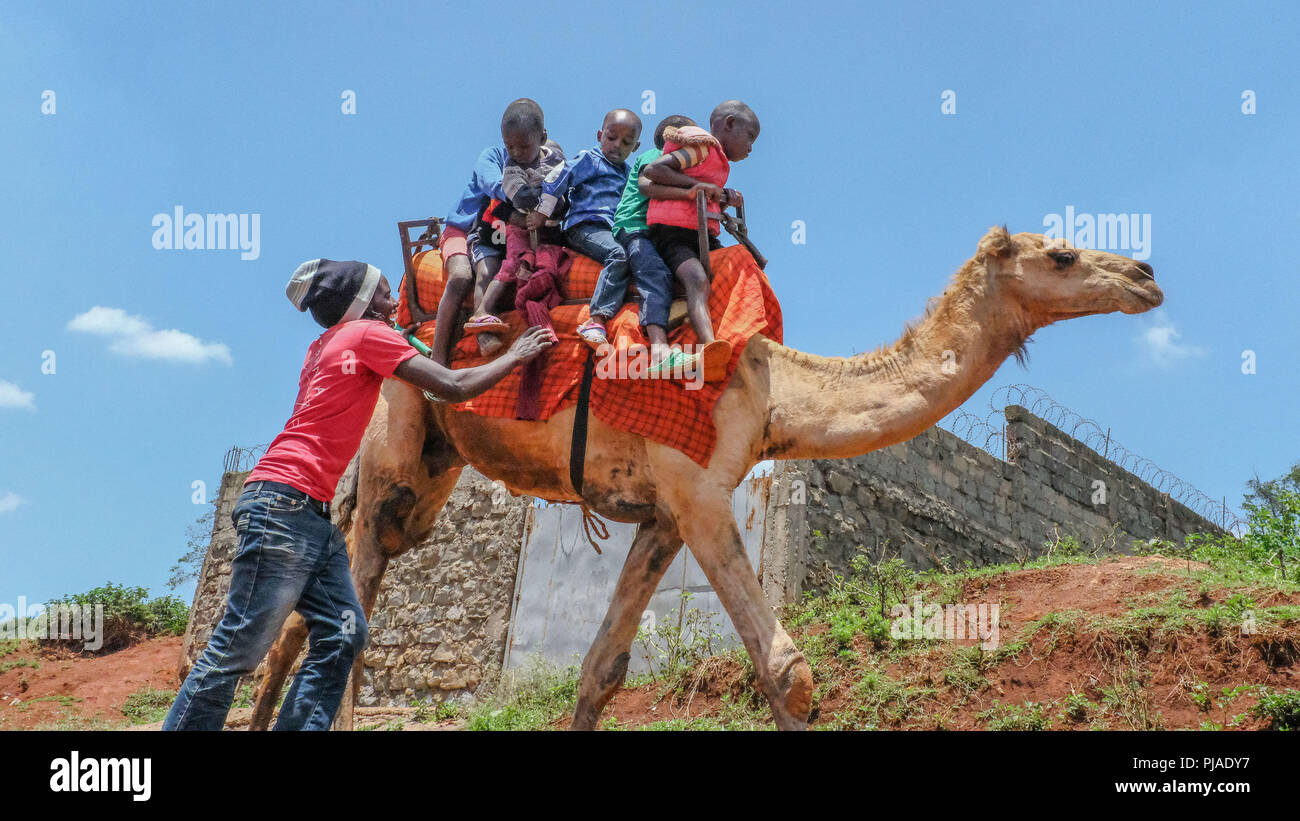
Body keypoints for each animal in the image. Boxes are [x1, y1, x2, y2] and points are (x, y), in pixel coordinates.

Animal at [248, 226, 1164, 732]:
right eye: (1063, 252)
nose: (1146, 275)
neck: (773, 391)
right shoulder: (700, 493)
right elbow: (789, 673)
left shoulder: (661, 515)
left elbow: (602, 670)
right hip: (395, 436)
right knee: (356, 595)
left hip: (438, 466)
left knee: (308, 605)